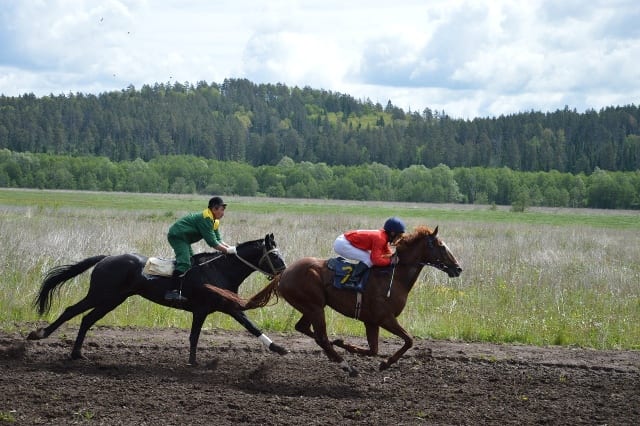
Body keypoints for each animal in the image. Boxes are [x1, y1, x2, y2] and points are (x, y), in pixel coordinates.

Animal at [28, 235, 288, 364]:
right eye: (275, 255)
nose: (285, 272)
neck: (219, 270)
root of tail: (106, 258)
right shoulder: (205, 309)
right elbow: (196, 336)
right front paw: (193, 362)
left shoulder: (224, 307)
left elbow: (250, 327)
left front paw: (278, 348)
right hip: (102, 294)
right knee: (72, 311)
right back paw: (39, 334)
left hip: (113, 299)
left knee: (86, 319)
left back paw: (77, 354)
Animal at [245, 226, 460, 376]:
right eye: (441, 246)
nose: (458, 268)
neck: (395, 276)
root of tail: (283, 274)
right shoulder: (385, 318)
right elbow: (409, 340)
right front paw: (385, 364)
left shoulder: (371, 321)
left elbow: (373, 350)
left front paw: (343, 343)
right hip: (314, 307)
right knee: (321, 337)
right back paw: (347, 366)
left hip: (311, 307)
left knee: (305, 329)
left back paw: (335, 353)